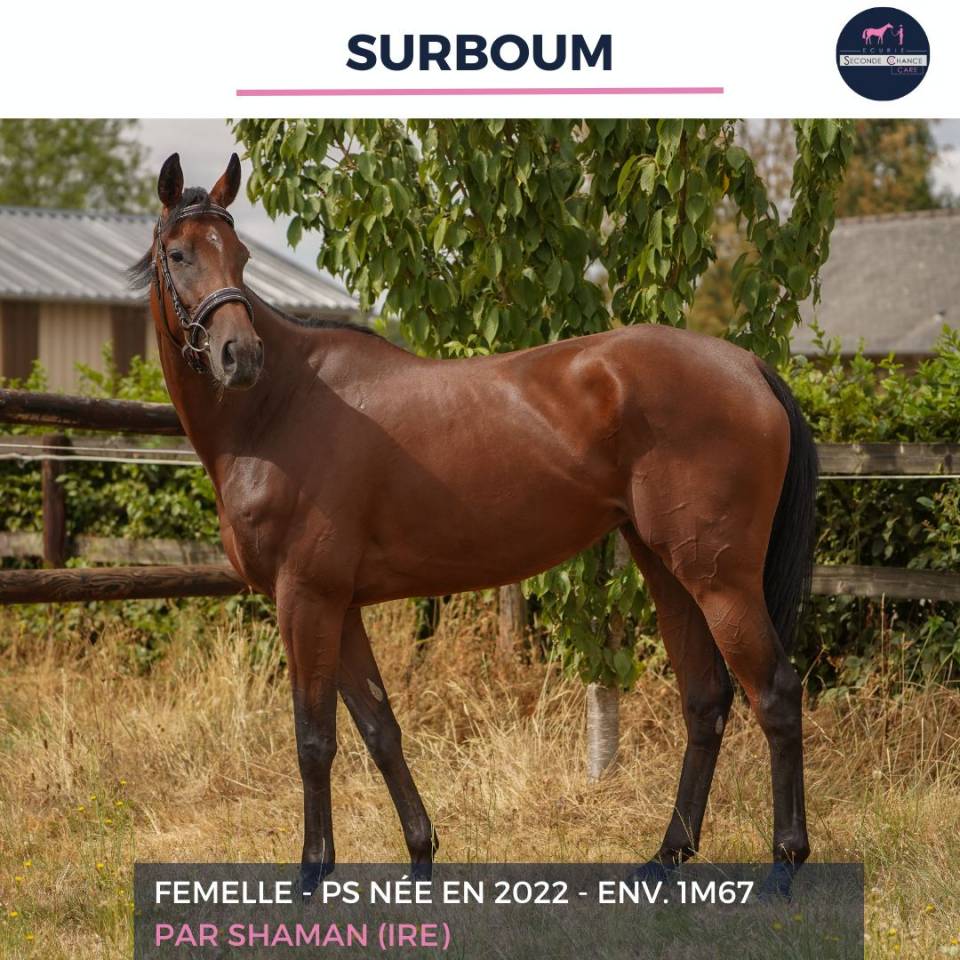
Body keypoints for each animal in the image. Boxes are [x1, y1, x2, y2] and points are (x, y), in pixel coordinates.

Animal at [132, 153, 819, 896]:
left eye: (241, 256)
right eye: (180, 254)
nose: (240, 357)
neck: (280, 411)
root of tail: (746, 365)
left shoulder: (306, 599)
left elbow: (314, 740)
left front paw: (311, 877)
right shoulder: (341, 607)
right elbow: (380, 730)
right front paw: (420, 856)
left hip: (720, 580)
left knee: (774, 695)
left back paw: (784, 864)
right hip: (667, 568)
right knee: (706, 699)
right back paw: (667, 858)